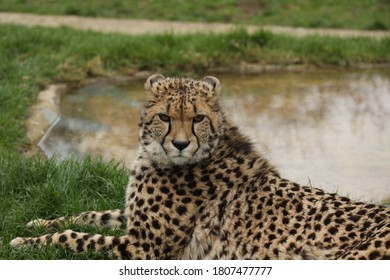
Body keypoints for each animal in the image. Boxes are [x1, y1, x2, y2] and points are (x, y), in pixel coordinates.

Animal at [9, 75, 390, 260]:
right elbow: (90, 214)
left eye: (198, 118)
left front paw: (25, 243)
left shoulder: (144, 248)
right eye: (165, 117)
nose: (180, 144)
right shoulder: (134, 223)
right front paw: (37, 222)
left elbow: (73, 237)